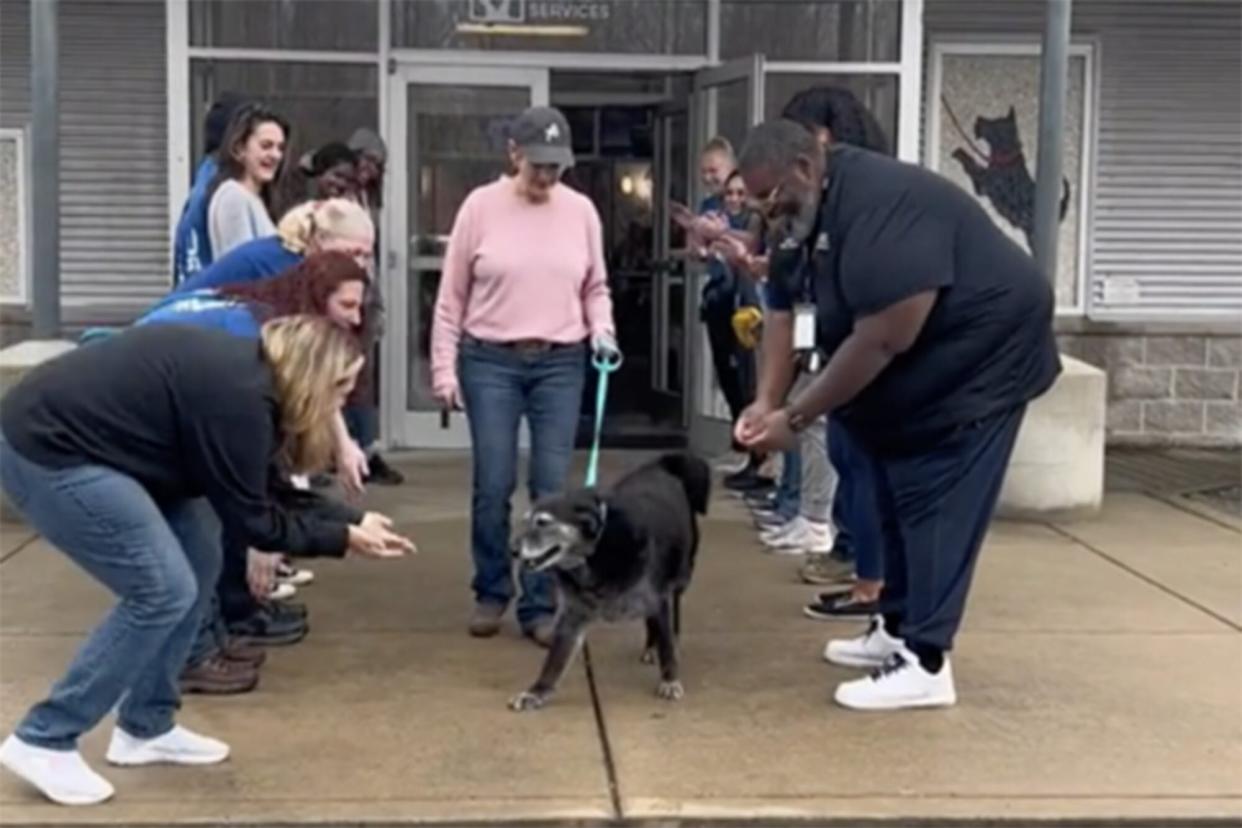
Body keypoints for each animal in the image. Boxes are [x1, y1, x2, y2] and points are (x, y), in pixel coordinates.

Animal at [509, 454, 715, 715]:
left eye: (543, 522)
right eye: (527, 522)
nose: (513, 551)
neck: (596, 552)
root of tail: (660, 465)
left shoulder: (659, 599)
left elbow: (667, 645)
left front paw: (669, 680)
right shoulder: (572, 617)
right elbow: (554, 662)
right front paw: (536, 692)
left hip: (680, 579)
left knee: (671, 620)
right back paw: (651, 647)